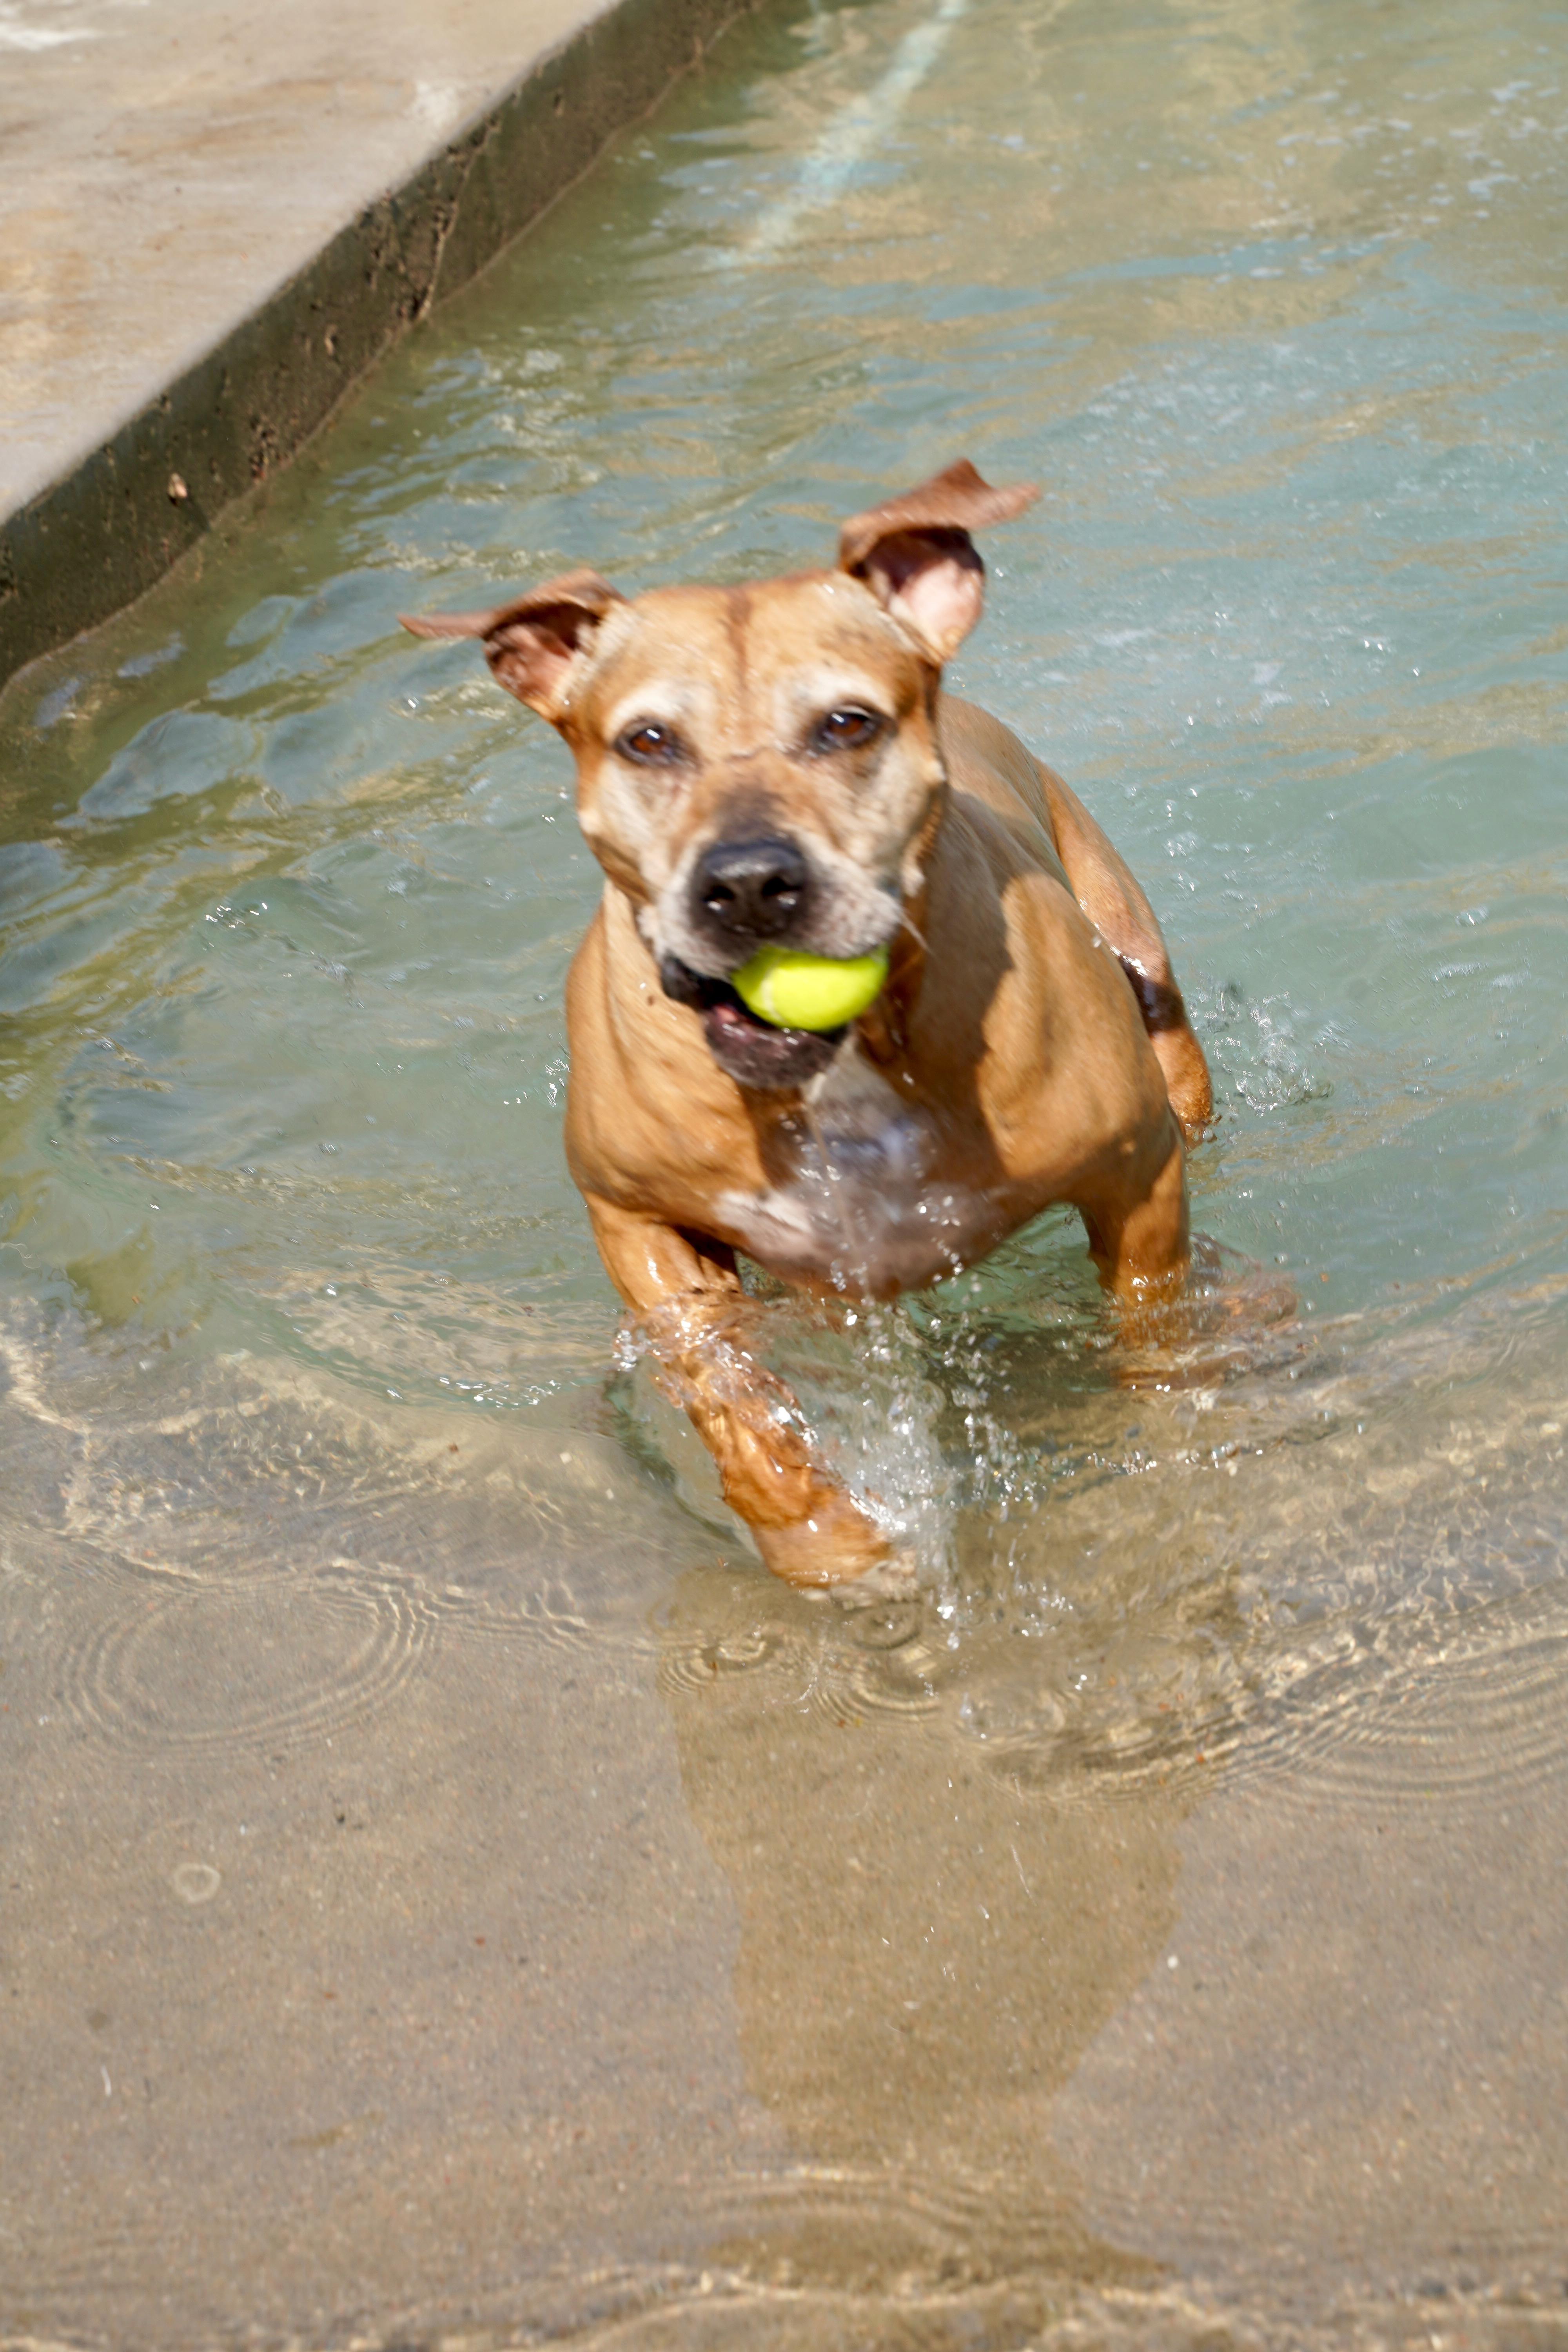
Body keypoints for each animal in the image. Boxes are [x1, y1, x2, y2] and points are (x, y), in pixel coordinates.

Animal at [404, 454, 1213, 1599]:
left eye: (847, 724)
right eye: (648, 740)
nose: (748, 882)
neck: (849, 1070)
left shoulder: (1135, 1174)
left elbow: (1151, 1325)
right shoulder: (636, 1221)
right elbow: (728, 1398)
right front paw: (824, 1542)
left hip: (1149, 983)